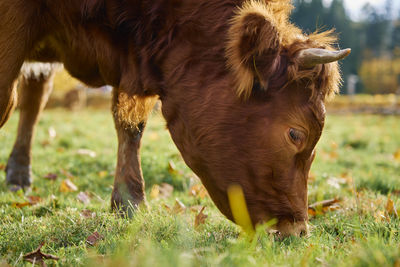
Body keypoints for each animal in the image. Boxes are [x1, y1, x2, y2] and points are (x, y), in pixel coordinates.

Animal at [0, 0, 348, 237]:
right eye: (295, 134)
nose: (298, 229)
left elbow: (130, 126)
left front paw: (130, 203)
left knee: (34, 99)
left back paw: (18, 175)